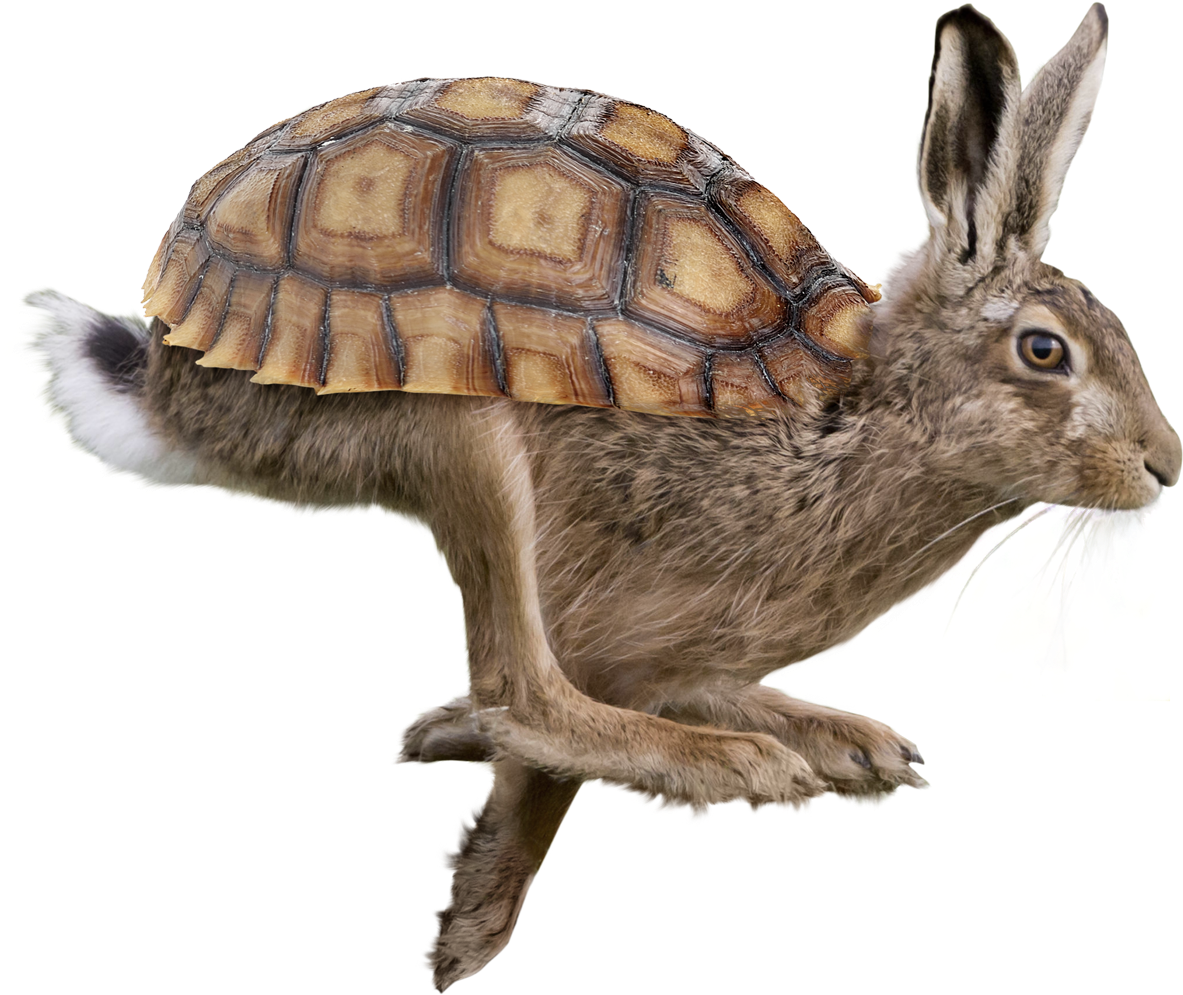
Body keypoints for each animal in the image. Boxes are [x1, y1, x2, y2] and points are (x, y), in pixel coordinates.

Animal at [11, 3, 1179, 989]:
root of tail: (179, 329)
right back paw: (724, 768)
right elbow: (547, 754)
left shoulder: (678, 646)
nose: (1165, 463)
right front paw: (472, 926)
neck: (857, 409)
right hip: (457, 420)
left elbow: (686, 687)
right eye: (1044, 351)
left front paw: (853, 743)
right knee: (520, 683)